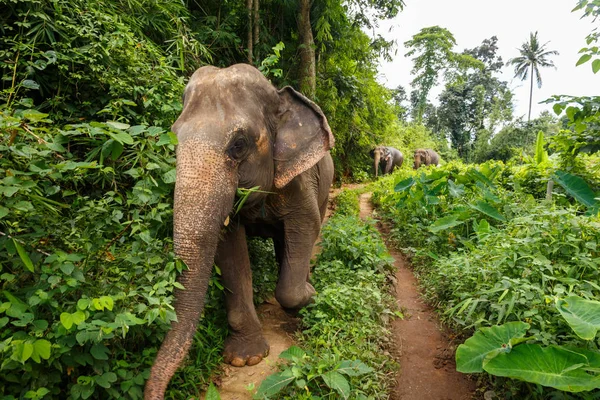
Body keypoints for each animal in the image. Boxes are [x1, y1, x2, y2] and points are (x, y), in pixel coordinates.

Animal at [144, 64, 336, 398]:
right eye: (174, 139)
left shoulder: (299, 179)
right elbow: (229, 248)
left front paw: (310, 297)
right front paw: (245, 359)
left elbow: (307, 225)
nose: (155, 392)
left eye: (238, 144)